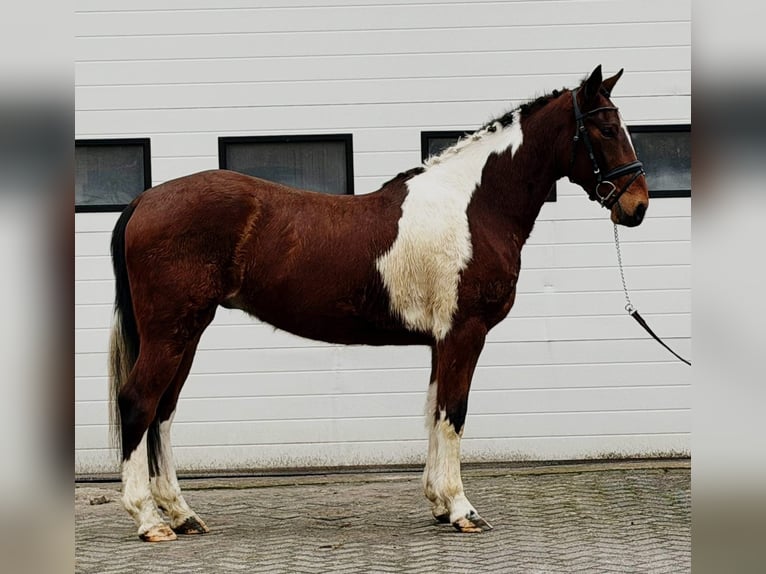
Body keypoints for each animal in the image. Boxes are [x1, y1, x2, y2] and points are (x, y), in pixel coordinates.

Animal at [108, 65, 648, 541]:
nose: (637, 205)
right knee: (138, 403)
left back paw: (182, 515)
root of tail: (145, 200)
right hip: (171, 332)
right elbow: (455, 412)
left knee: (163, 412)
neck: (473, 207)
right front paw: (462, 510)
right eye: (605, 127)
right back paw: (150, 520)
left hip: (186, 332)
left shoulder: (440, 341)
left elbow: (434, 411)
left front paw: (438, 503)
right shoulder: (465, 332)